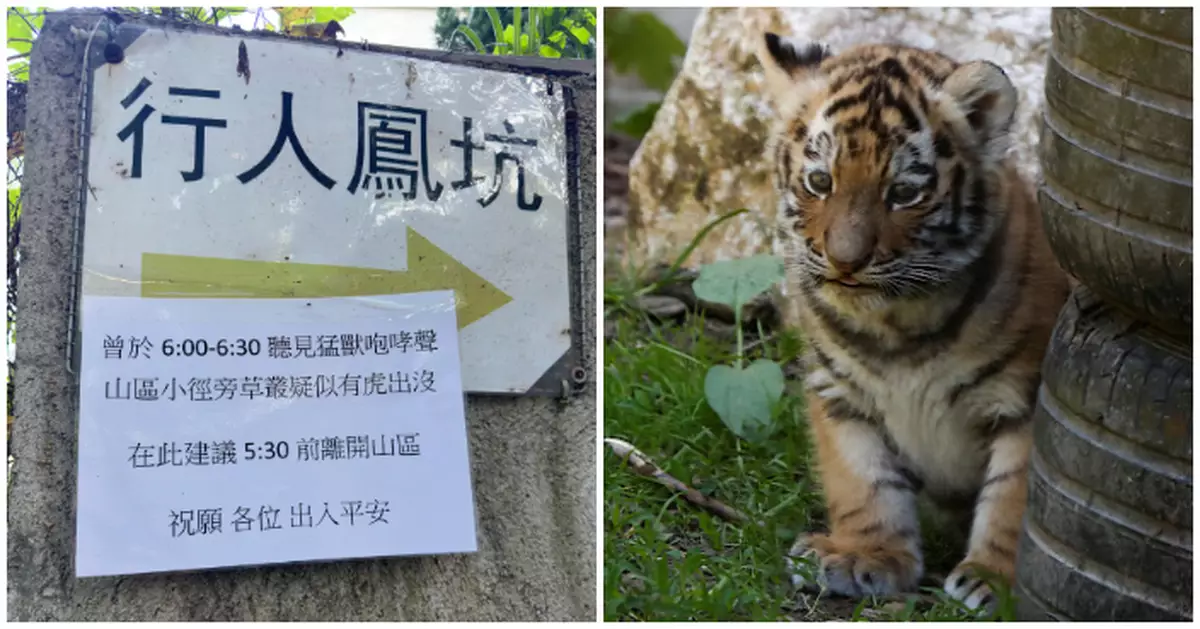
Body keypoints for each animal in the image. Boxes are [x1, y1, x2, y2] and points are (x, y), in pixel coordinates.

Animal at [754, 33, 1070, 611]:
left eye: (903, 193)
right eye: (820, 181)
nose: (846, 261)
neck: (896, 325)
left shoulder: (1027, 401)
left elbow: (1015, 496)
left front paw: (996, 580)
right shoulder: (841, 395)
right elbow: (863, 481)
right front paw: (865, 556)